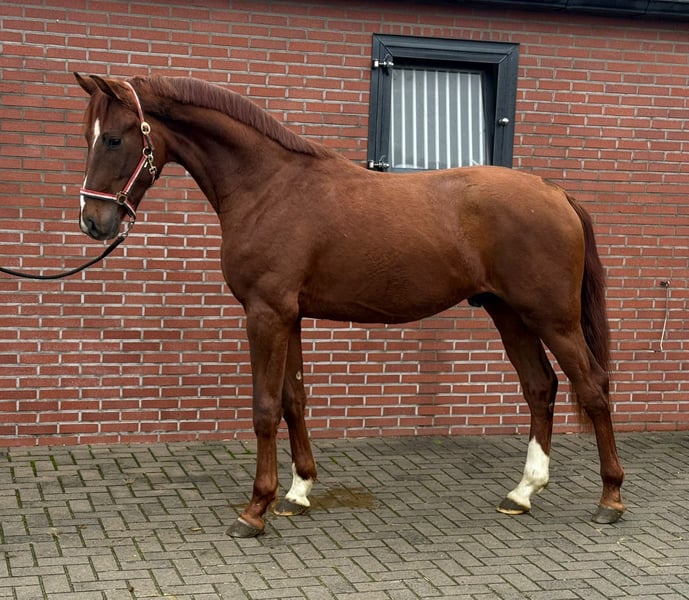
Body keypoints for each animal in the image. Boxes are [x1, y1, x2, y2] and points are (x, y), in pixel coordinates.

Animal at [74, 73, 625, 538]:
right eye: (88, 136)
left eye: (115, 139)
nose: (94, 222)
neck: (268, 187)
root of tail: (554, 192)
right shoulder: (289, 316)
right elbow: (293, 401)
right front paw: (297, 492)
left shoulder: (266, 314)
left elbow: (264, 407)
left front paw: (255, 510)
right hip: (508, 313)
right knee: (540, 387)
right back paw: (523, 492)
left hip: (553, 318)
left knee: (593, 387)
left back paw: (610, 500)